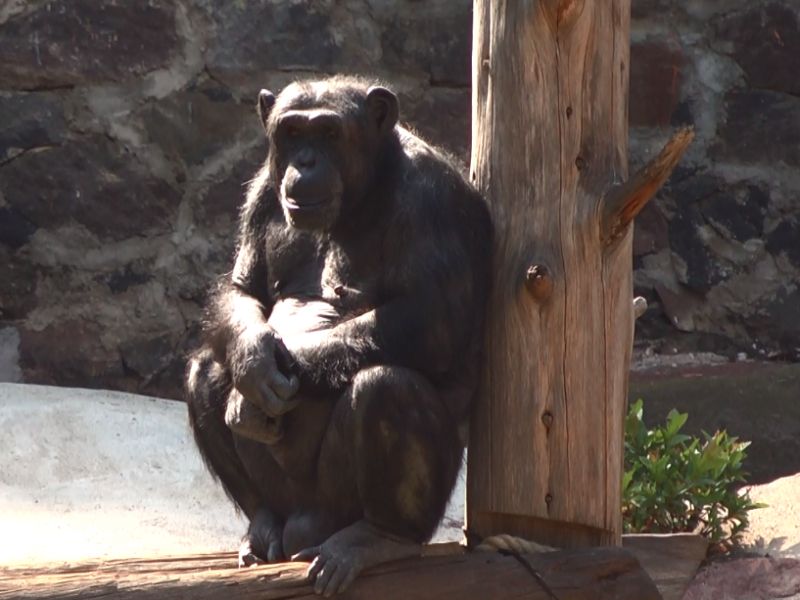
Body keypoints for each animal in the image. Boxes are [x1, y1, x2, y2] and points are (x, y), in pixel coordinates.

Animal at [185, 76, 494, 596]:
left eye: (329, 133)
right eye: (292, 133)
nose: (306, 161)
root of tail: (300, 527)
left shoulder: (431, 199)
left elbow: (428, 319)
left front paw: (253, 393)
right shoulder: (262, 190)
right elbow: (244, 289)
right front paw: (253, 362)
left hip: (338, 508)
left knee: (387, 387)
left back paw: (379, 537)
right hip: (286, 499)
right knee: (205, 368)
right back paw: (262, 524)